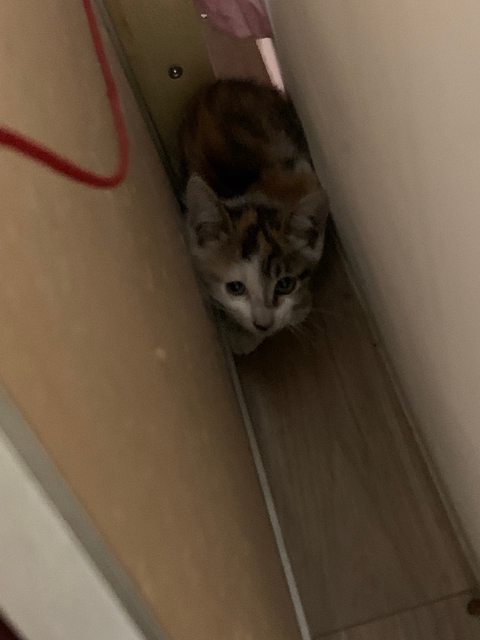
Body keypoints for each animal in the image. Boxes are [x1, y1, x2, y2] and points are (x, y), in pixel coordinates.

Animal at [180, 78, 328, 354]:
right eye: (236, 288)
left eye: (285, 284)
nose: (263, 325)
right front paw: (241, 335)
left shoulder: (303, 175)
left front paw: (300, 306)